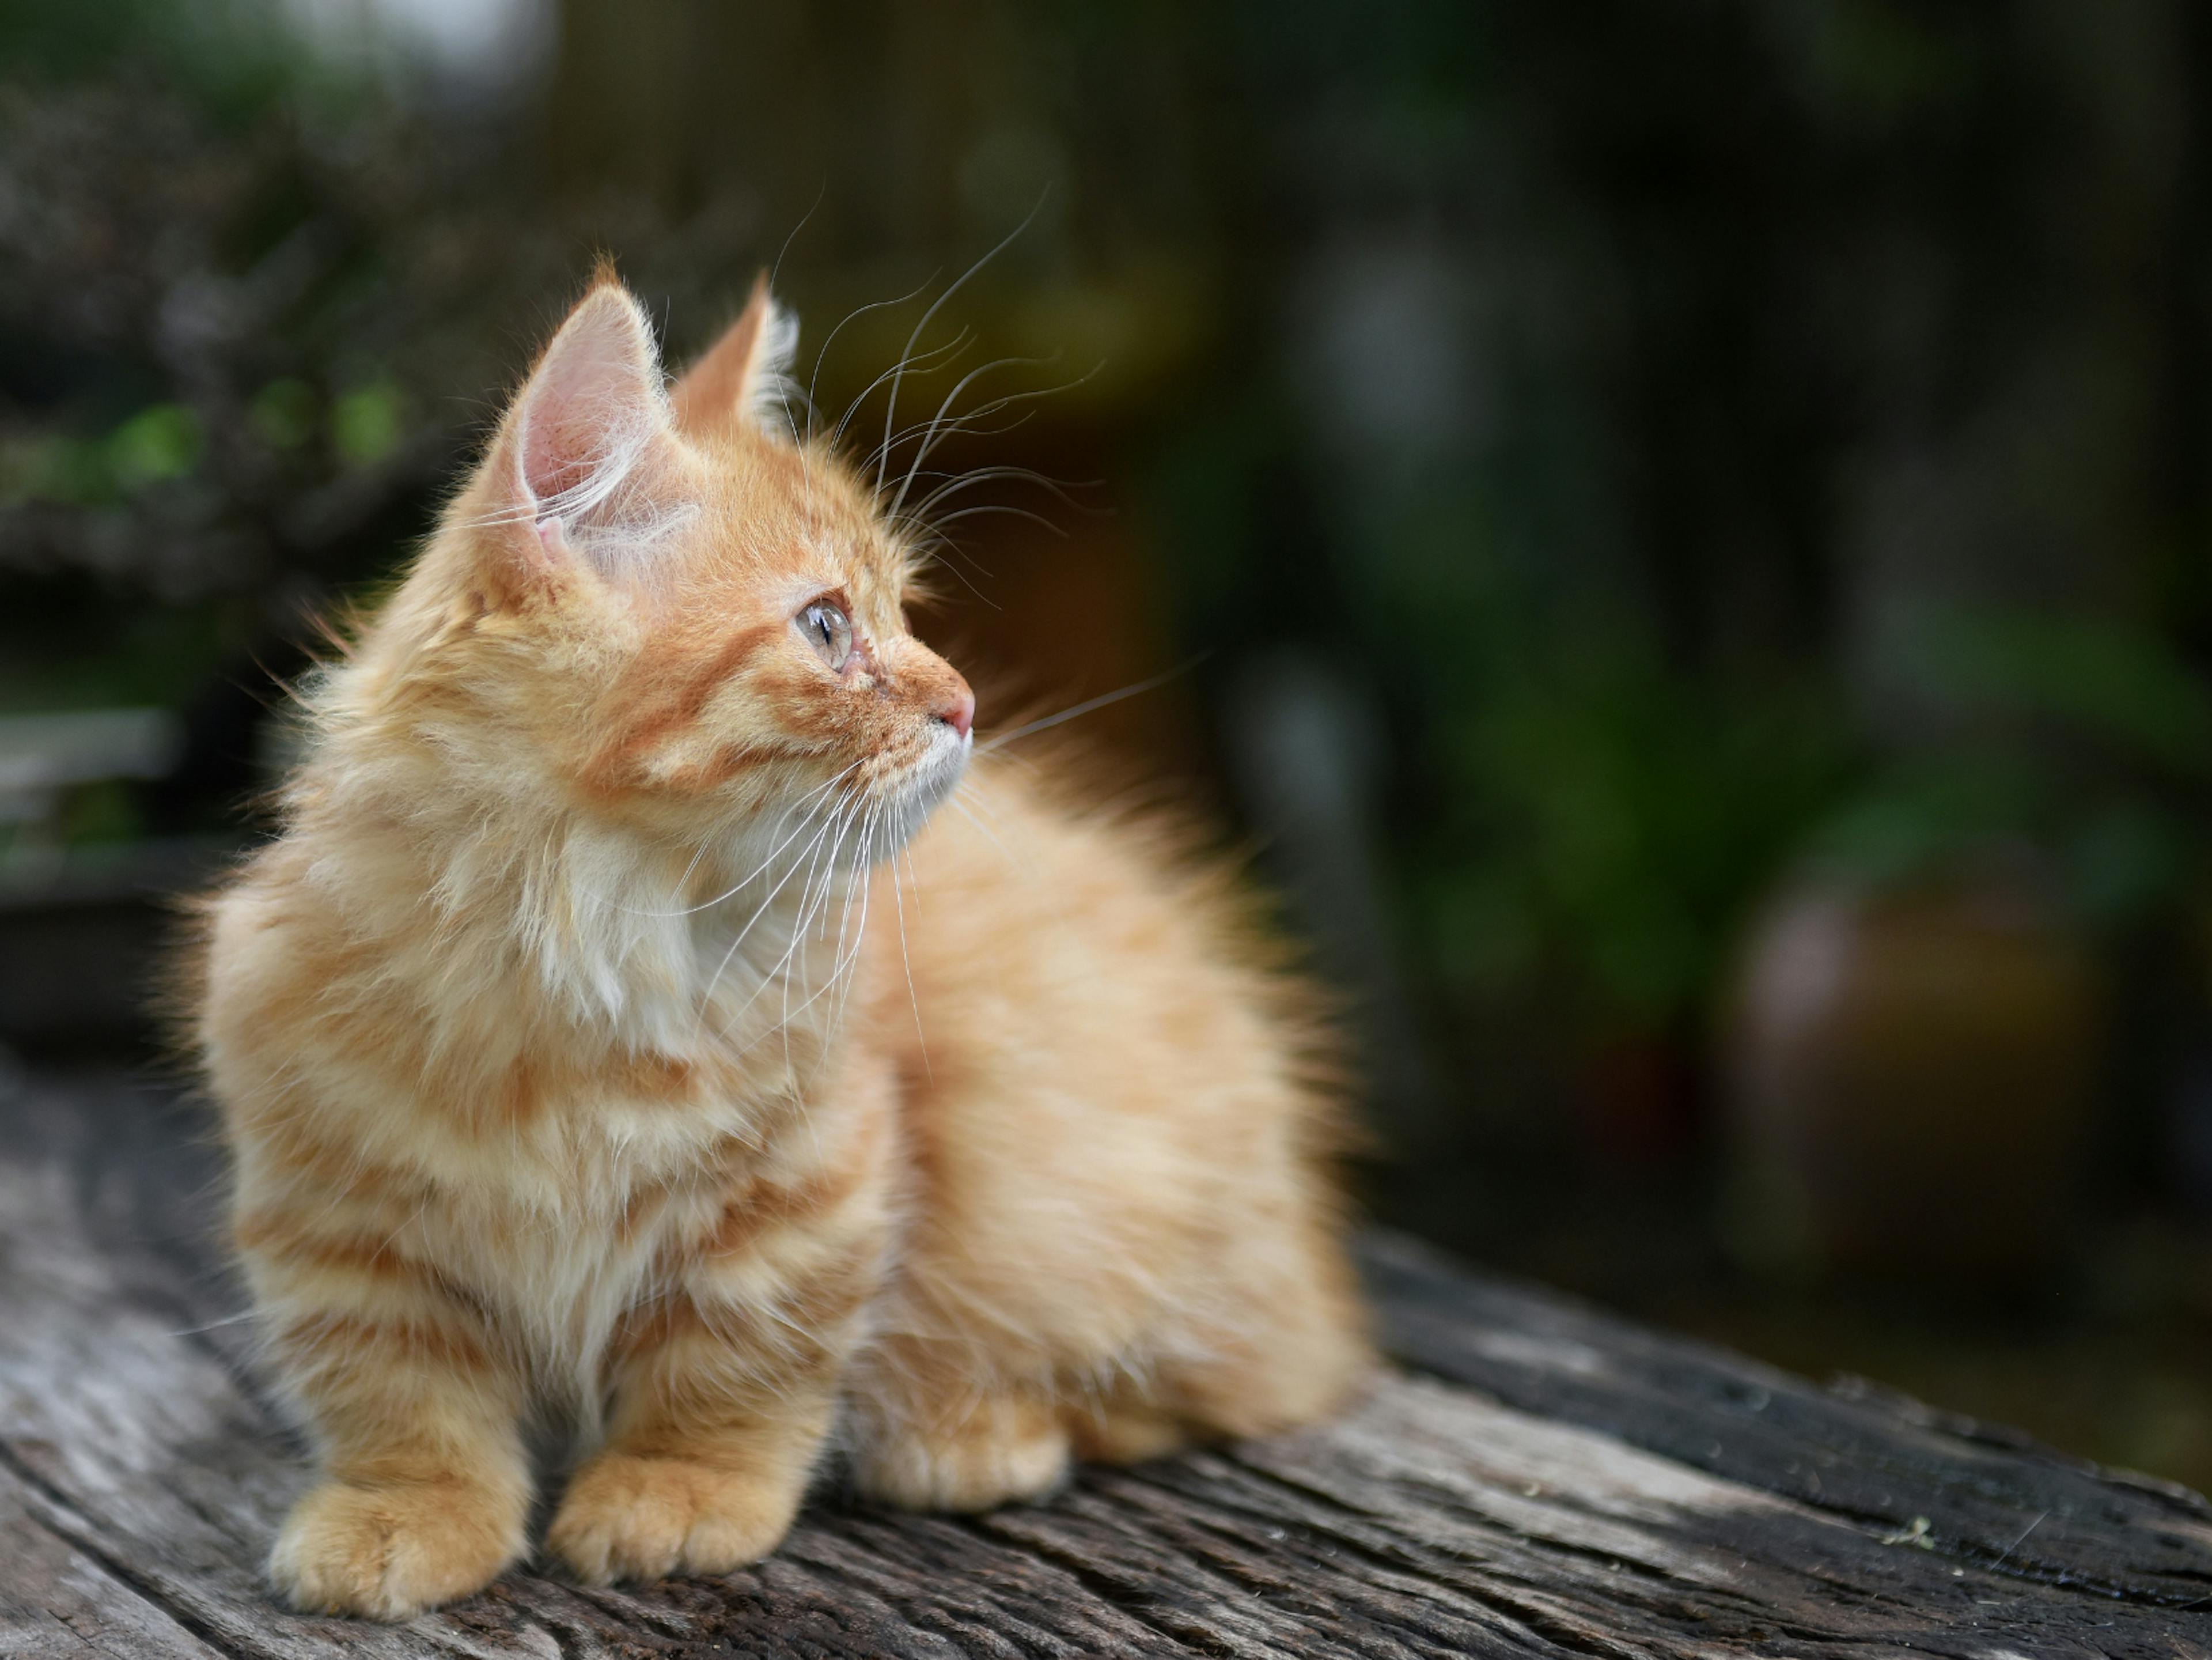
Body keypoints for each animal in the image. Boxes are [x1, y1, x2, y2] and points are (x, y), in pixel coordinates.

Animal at [190, 273, 1362, 1629]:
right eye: (824, 626)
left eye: (904, 613)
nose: (964, 704)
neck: (585, 950)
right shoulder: (334, 1213)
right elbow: (399, 1392)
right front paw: (405, 1513)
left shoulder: (810, 1183)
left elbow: (737, 1361)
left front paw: (678, 1488)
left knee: (1213, 1385)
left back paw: (968, 1429)